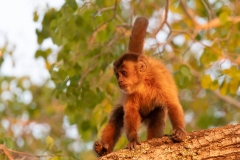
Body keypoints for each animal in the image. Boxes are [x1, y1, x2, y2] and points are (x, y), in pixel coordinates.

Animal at [93, 16, 188, 157]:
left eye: (124, 73)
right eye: (117, 75)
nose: (119, 81)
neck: (143, 82)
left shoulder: (159, 79)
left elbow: (172, 104)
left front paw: (179, 130)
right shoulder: (128, 91)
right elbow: (130, 111)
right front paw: (133, 140)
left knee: (158, 113)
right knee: (118, 116)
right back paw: (103, 150)